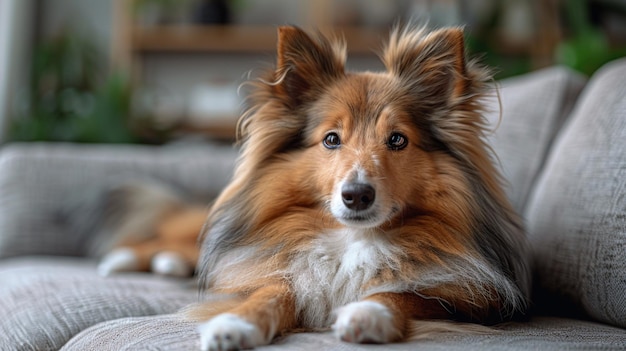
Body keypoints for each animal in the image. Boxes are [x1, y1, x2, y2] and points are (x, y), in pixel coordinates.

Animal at [100, 24, 528, 351]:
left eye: (397, 140)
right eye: (331, 139)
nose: (356, 196)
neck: (352, 240)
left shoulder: (470, 301)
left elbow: (403, 293)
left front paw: (367, 314)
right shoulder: (279, 272)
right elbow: (271, 291)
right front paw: (235, 324)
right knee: (161, 237)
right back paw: (125, 259)